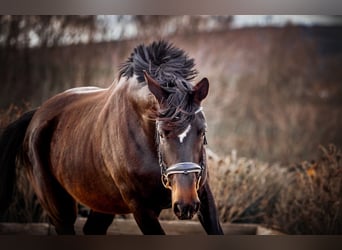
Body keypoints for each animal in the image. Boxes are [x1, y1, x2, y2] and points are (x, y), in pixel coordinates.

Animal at [0, 40, 223, 234]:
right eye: (161, 133)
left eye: (202, 131)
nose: (185, 205)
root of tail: (36, 115)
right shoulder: (141, 208)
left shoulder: (202, 194)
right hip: (59, 209)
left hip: (104, 202)